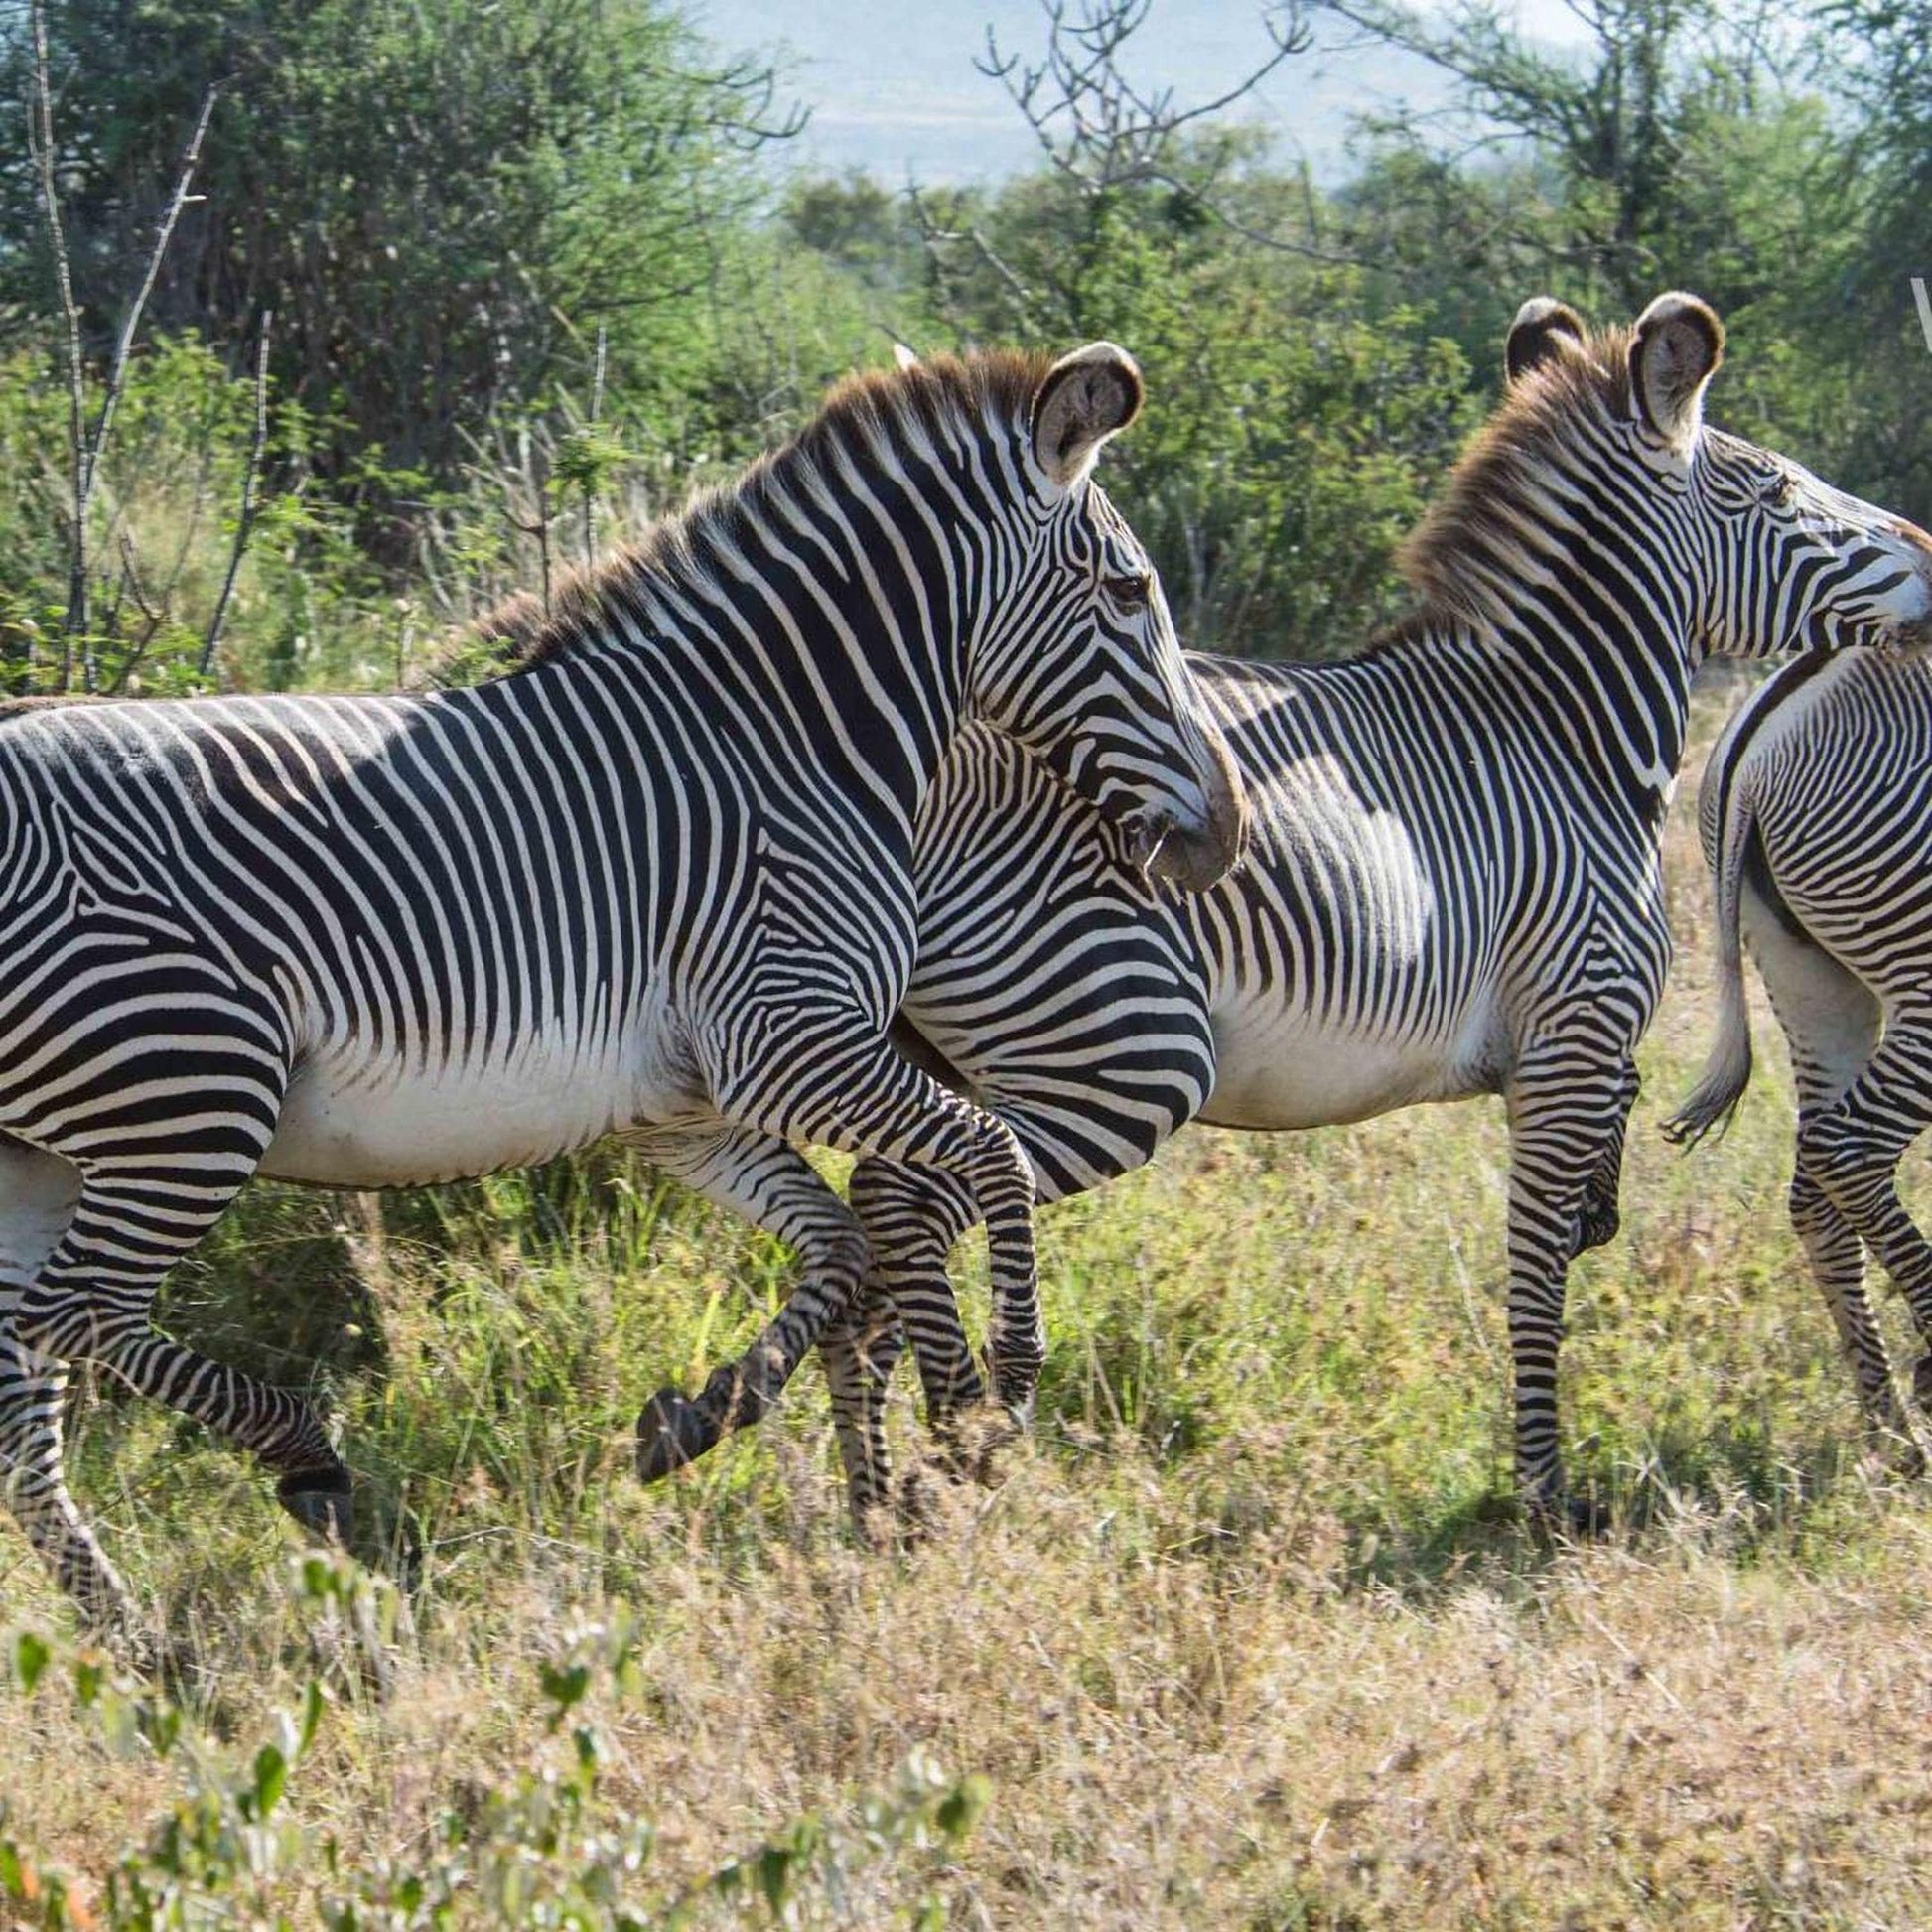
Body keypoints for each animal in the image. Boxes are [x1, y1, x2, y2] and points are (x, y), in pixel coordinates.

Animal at [0, 342, 1249, 1634]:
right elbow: (985, 1158)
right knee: (73, 1315)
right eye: (1129, 591)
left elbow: (841, 1248)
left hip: (48, 1144)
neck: (787, 742)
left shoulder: (684, 1107)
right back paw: (301, 1461)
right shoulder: (790, 1038)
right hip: (189, 1087)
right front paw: (979, 1409)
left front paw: (698, 1421)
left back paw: (129, 1629)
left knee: (23, 1383)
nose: (1225, 838)